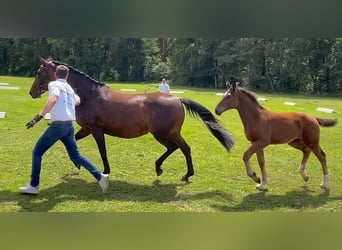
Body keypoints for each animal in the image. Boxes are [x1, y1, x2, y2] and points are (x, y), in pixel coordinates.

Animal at [28, 57, 235, 183]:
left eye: (40, 73)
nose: (32, 93)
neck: (89, 96)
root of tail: (177, 99)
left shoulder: (96, 130)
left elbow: (102, 151)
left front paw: (105, 171)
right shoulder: (86, 129)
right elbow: (72, 144)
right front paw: (77, 163)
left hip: (163, 133)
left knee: (178, 148)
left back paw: (172, 171)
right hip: (170, 133)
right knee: (180, 148)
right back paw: (173, 171)